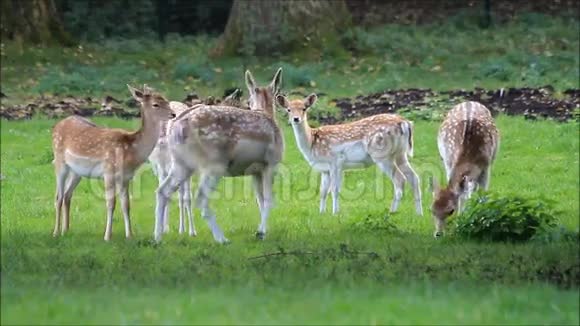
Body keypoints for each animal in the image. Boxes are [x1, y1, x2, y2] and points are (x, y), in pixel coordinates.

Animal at [51, 85, 174, 241]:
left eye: (167, 101)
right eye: (155, 104)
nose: (173, 114)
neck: (130, 151)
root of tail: (57, 126)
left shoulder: (126, 177)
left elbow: (126, 204)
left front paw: (130, 235)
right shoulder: (108, 171)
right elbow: (111, 203)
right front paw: (107, 236)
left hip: (77, 172)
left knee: (67, 195)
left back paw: (66, 230)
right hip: (59, 161)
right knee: (58, 197)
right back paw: (56, 232)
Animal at [152, 68, 284, 242]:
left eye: (249, 100)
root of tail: (175, 127)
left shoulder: (255, 171)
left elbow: (260, 201)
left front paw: (262, 232)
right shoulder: (271, 163)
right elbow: (269, 200)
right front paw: (261, 233)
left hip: (181, 163)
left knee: (162, 191)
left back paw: (157, 238)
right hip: (214, 164)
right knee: (200, 198)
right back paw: (222, 239)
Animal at [276, 94, 422, 216]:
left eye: (304, 108)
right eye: (288, 109)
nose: (296, 119)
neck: (312, 142)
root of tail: (404, 123)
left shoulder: (335, 161)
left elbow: (334, 190)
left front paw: (334, 213)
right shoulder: (325, 169)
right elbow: (323, 191)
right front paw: (321, 213)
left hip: (381, 154)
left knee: (400, 179)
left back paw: (392, 212)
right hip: (400, 153)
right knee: (414, 178)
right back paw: (419, 214)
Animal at [428, 101, 500, 237]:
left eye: (451, 211)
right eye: (432, 210)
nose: (438, 234)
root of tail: (469, 102)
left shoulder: (486, 166)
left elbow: (483, 195)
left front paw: (479, 218)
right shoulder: (448, 162)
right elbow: (462, 194)